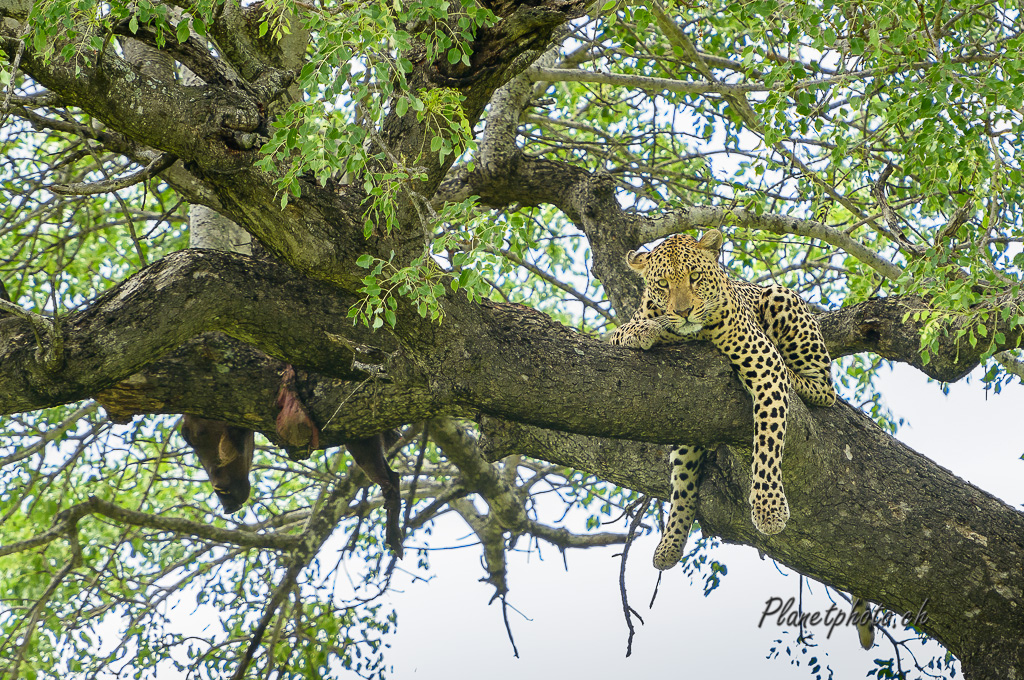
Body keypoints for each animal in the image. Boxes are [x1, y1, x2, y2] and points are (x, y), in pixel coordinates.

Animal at [606, 231, 831, 569]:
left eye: (695, 277)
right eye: (663, 284)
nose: (683, 312)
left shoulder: (765, 366)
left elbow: (767, 443)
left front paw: (768, 509)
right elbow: (621, 332)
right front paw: (645, 329)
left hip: (779, 297)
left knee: (826, 388)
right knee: (683, 476)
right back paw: (670, 543)